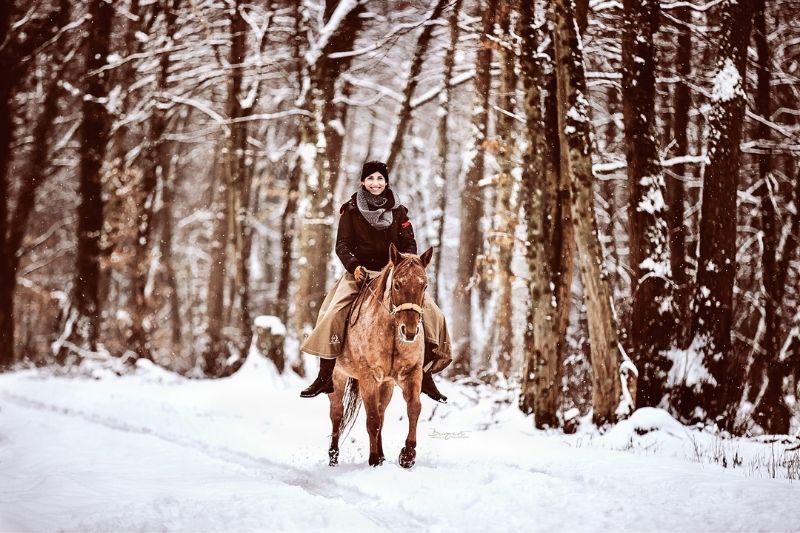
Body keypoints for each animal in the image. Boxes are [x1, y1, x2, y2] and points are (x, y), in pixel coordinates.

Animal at [328, 241, 434, 466]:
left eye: (425, 286)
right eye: (397, 285)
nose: (409, 331)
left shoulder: (411, 374)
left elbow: (414, 408)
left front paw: (407, 455)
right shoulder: (368, 377)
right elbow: (372, 419)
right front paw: (374, 459)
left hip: (386, 385)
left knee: (382, 414)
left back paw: (384, 454)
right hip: (337, 377)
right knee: (337, 414)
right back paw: (333, 457)